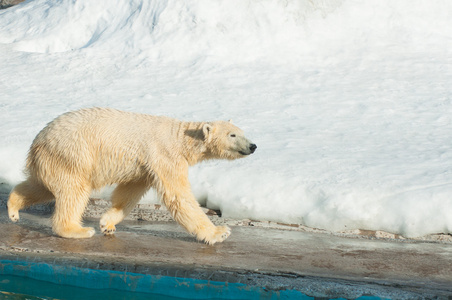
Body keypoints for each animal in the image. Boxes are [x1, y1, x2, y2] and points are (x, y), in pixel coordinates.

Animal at [7, 107, 256, 244]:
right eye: (233, 135)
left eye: (243, 132)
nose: (253, 146)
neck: (181, 138)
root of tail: (37, 142)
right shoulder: (165, 155)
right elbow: (178, 196)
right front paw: (219, 232)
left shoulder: (145, 166)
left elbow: (129, 191)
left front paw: (108, 223)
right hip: (73, 153)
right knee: (74, 191)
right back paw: (77, 229)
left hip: (55, 161)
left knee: (42, 186)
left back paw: (13, 210)